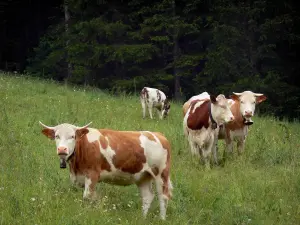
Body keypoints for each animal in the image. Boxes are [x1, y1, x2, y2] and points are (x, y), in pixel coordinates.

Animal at [39, 121, 173, 220]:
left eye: (72, 136)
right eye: (57, 136)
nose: (62, 149)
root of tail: (158, 135)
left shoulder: (92, 174)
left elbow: (87, 196)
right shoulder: (79, 178)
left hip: (161, 174)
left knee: (163, 196)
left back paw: (162, 219)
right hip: (142, 176)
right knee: (147, 197)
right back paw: (142, 218)